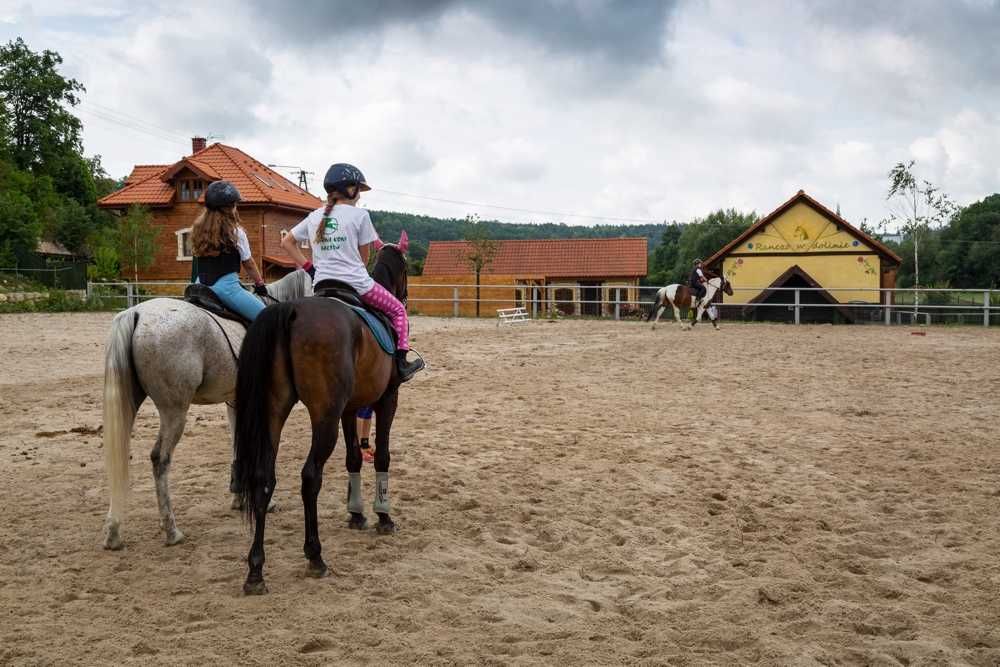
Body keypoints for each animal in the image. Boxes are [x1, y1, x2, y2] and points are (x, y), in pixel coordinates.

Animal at [102, 268, 308, 552]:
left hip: (131, 405)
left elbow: (237, 443)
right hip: (174, 411)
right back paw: (171, 530)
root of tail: (137, 313)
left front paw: (238, 495)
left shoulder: (235, 402)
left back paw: (114, 532)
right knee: (160, 459)